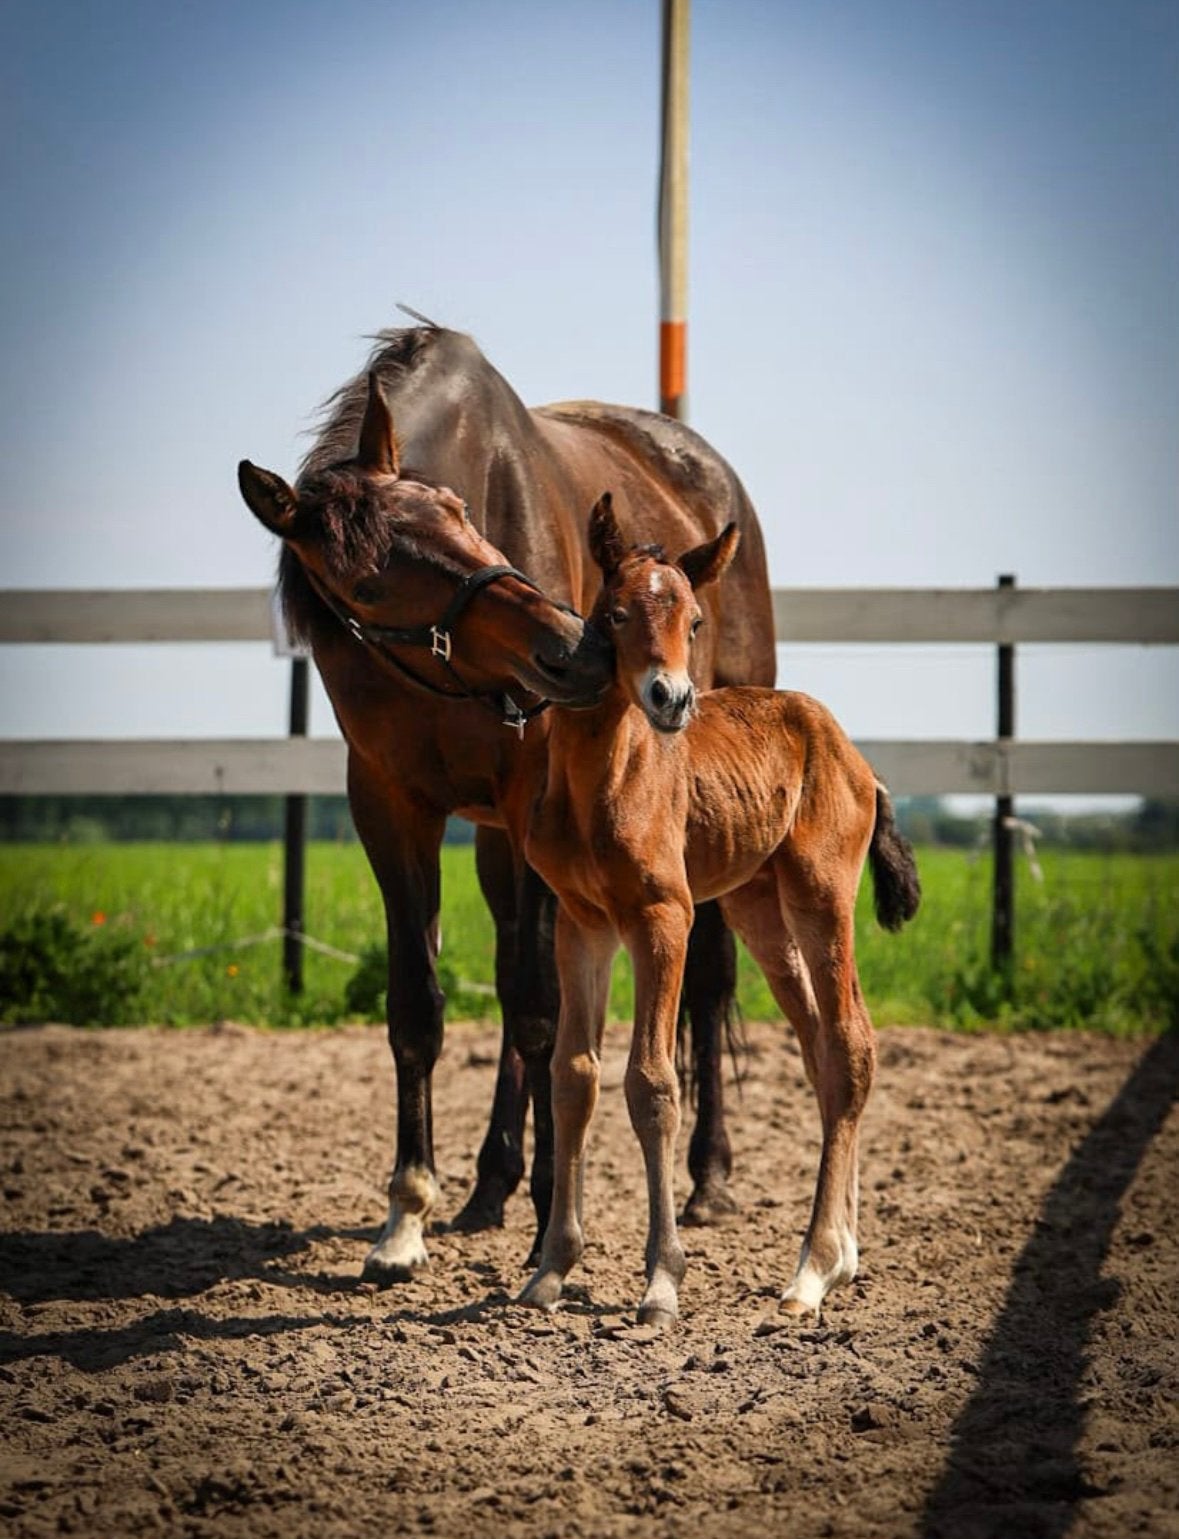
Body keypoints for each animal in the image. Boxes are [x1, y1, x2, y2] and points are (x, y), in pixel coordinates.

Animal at [237, 324, 776, 1281]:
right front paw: (406, 1216)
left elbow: (538, 1010)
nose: (570, 645)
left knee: (706, 980)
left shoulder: (536, 809)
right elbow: (420, 1005)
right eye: (366, 584)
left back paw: (708, 1176)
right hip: (493, 841)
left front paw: (551, 1220)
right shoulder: (390, 807)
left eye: (456, 512)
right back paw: (490, 1182)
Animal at [520, 494, 921, 1329]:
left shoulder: (662, 918)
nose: (671, 698)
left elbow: (650, 1083)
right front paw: (551, 1268)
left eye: (695, 620)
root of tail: (856, 757)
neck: (601, 781)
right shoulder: (582, 922)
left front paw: (661, 1281)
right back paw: (844, 1253)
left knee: (850, 1043)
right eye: (613, 614)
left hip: (819, 897)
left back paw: (812, 1268)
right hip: (758, 912)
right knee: (822, 1051)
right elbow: (575, 1077)